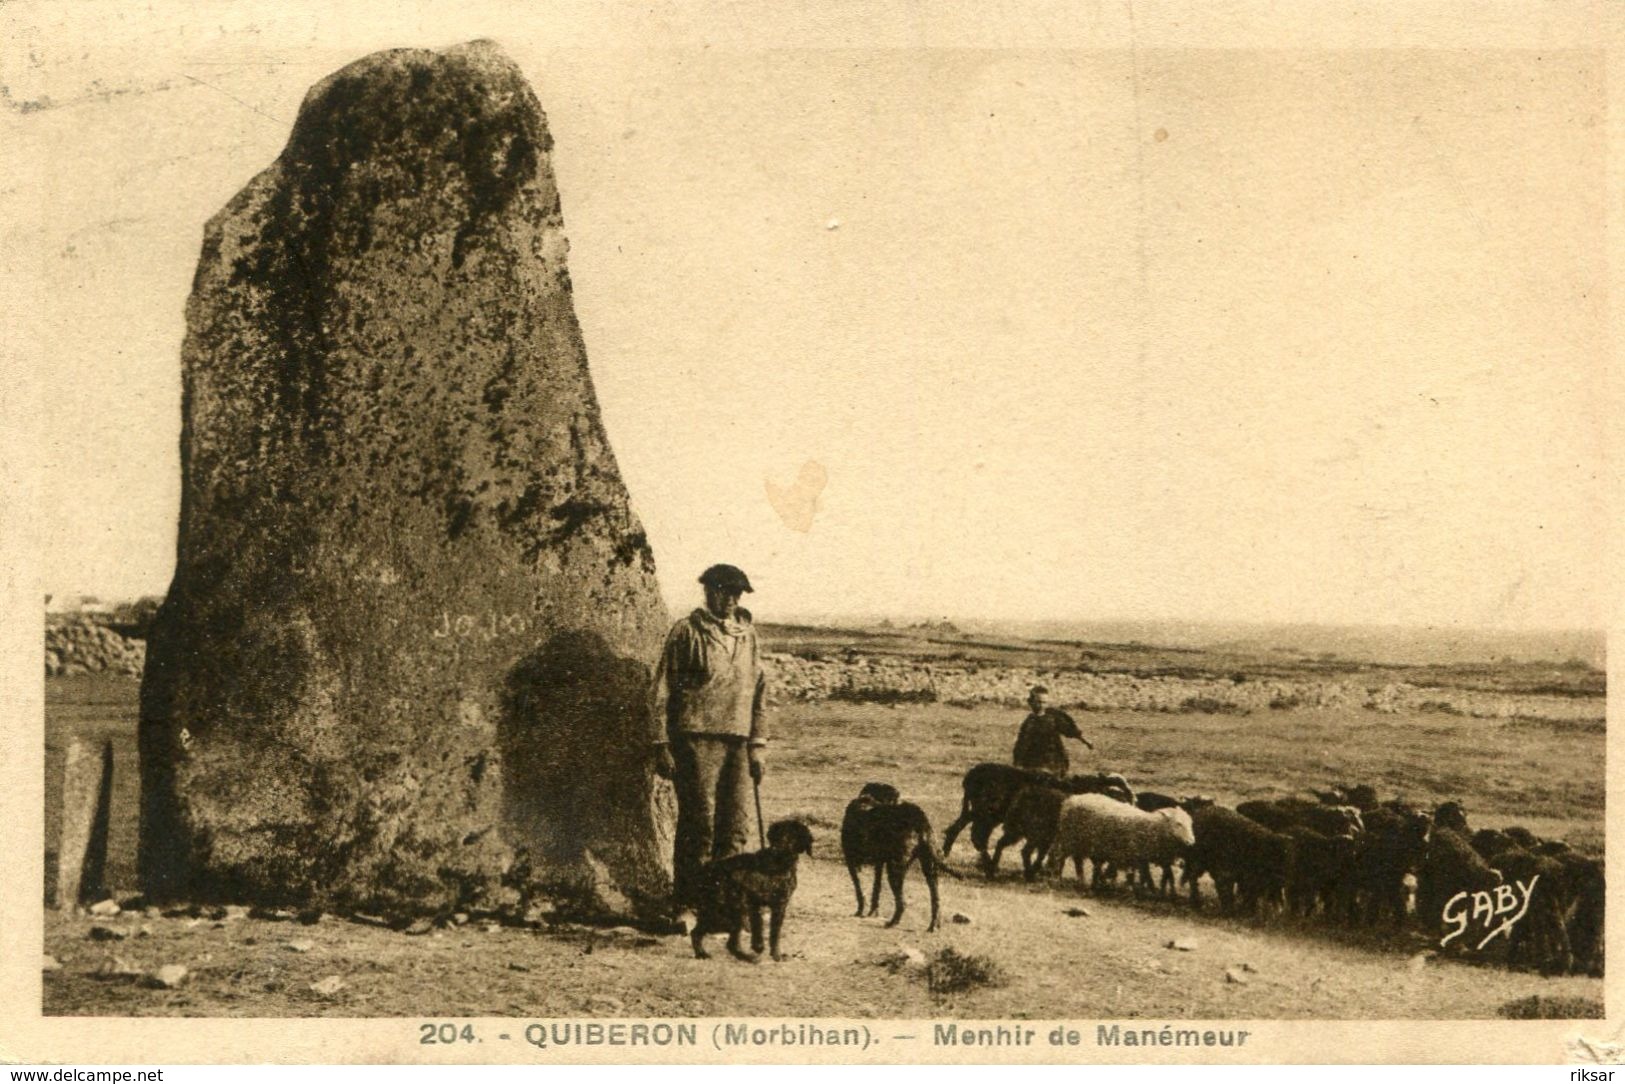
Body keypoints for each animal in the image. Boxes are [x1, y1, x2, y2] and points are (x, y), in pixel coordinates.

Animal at [685, 819, 812, 962]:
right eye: (778, 835)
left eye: (792, 836)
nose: (777, 848)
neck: (779, 863)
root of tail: (707, 870)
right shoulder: (762, 903)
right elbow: (767, 929)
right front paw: (766, 950)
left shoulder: (769, 905)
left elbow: (768, 929)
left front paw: (768, 950)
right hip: (728, 909)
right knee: (711, 937)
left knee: (714, 938)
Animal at [838, 780, 949, 936]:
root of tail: (920, 820)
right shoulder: (879, 864)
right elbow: (876, 889)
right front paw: (873, 911)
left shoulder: (851, 861)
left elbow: (859, 889)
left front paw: (861, 911)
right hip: (929, 868)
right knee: (936, 898)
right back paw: (934, 925)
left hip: (894, 869)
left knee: (902, 903)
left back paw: (892, 922)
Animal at [1053, 793, 1196, 897]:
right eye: (1178, 824)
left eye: (1190, 824)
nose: (1191, 842)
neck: (1151, 827)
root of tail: (1072, 798)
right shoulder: (1134, 855)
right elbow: (1137, 875)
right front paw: (1140, 890)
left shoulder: (1142, 858)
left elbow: (1144, 874)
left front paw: (1145, 889)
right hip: (1069, 839)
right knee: (1061, 858)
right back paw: (1059, 878)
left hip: (1081, 843)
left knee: (1078, 861)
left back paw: (1082, 880)